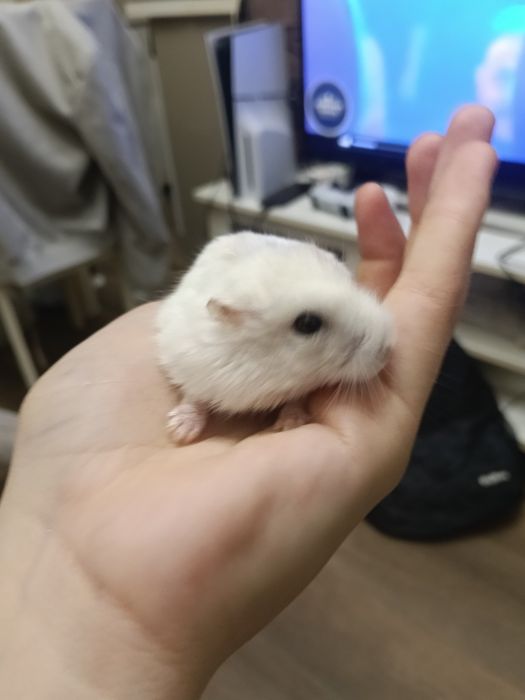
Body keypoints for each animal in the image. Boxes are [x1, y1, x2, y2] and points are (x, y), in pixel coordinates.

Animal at [156, 232, 393, 445]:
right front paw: (180, 433)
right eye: (308, 324)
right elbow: (193, 395)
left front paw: (289, 424)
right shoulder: (192, 365)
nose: (387, 352)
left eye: (353, 284)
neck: (274, 368)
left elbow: (297, 400)